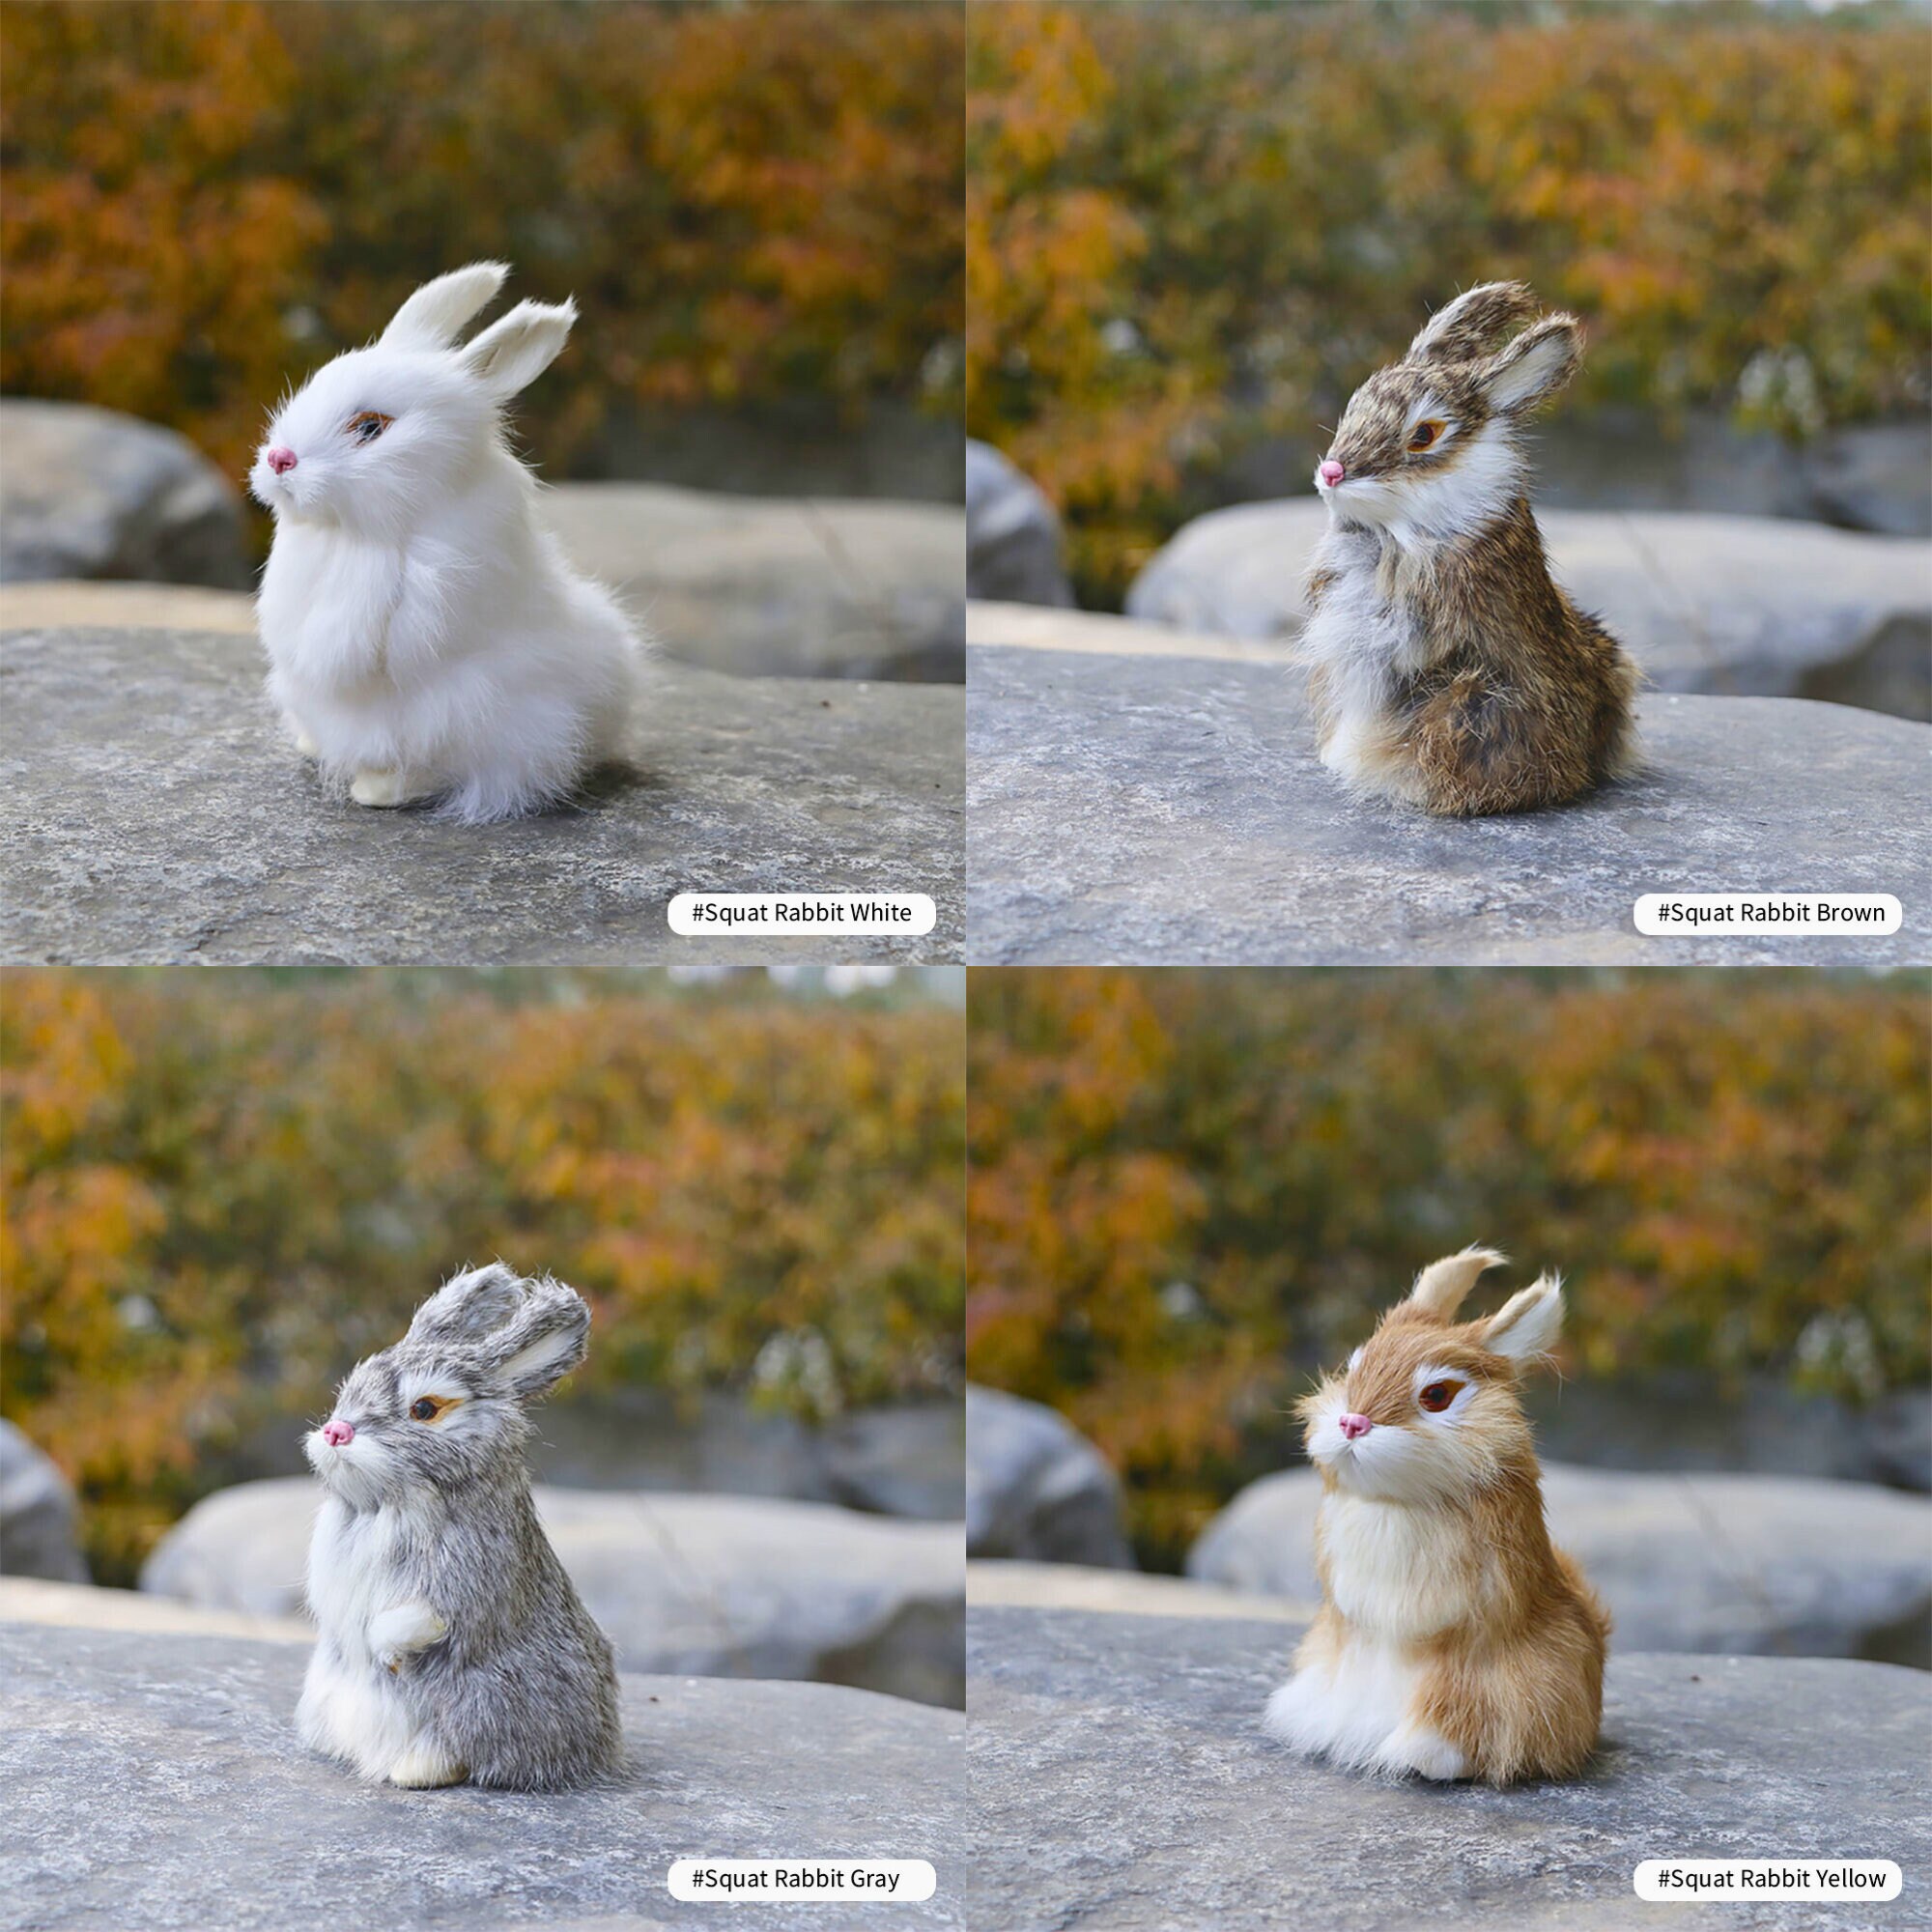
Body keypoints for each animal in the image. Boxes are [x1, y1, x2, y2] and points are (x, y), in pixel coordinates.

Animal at [297, 1262, 623, 1790]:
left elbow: (417, 1622)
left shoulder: (463, 1582)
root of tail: (601, 1745)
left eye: (424, 1409)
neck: (381, 1504)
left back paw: (414, 1770)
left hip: (482, 1703)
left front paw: (388, 1657)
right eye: (350, 1388)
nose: (335, 1431)